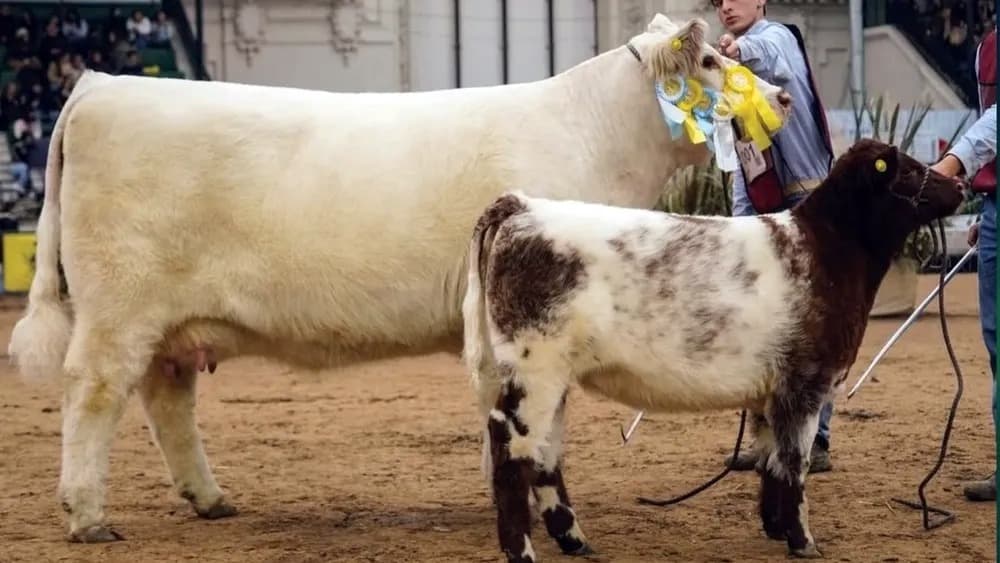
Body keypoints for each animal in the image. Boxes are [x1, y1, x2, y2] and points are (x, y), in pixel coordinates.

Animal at [7, 13, 790, 543]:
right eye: (714, 61)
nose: (782, 97)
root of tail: (100, 85)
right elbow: (539, 418)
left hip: (169, 321)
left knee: (167, 398)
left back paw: (208, 497)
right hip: (118, 307)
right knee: (94, 394)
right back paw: (87, 514)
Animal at [461, 138, 965, 562]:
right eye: (909, 169)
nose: (960, 184)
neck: (828, 251)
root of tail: (523, 206)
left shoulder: (771, 390)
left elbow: (770, 459)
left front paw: (775, 527)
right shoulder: (806, 380)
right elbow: (794, 462)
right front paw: (803, 541)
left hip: (551, 375)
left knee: (545, 452)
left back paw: (574, 540)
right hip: (534, 366)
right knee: (511, 446)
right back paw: (523, 551)